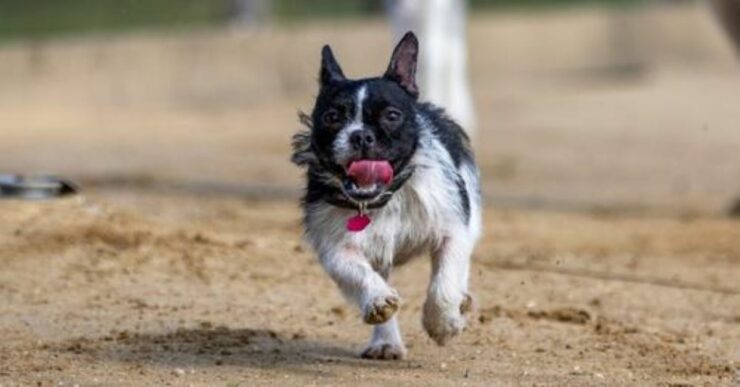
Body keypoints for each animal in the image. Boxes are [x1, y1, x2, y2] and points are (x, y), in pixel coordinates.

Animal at [290, 31, 480, 360]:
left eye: (392, 115)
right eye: (332, 117)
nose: (361, 135)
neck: (382, 197)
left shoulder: (453, 229)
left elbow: (445, 281)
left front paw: (443, 323)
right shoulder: (334, 243)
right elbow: (354, 269)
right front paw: (378, 300)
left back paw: (460, 303)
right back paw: (386, 342)